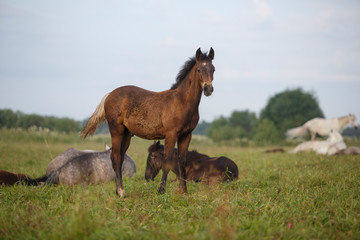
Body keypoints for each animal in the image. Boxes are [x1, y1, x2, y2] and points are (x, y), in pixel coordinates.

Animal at [81, 47, 215, 197]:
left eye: (213, 69)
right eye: (198, 69)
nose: (208, 89)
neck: (182, 102)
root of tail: (109, 94)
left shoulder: (186, 135)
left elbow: (182, 161)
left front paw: (184, 191)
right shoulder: (171, 134)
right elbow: (167, 160)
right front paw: (161, 191)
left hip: (127, 134)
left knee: (120, 158)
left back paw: (118, 191)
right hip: (116, 130)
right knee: (115, 157)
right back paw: (121, 192)